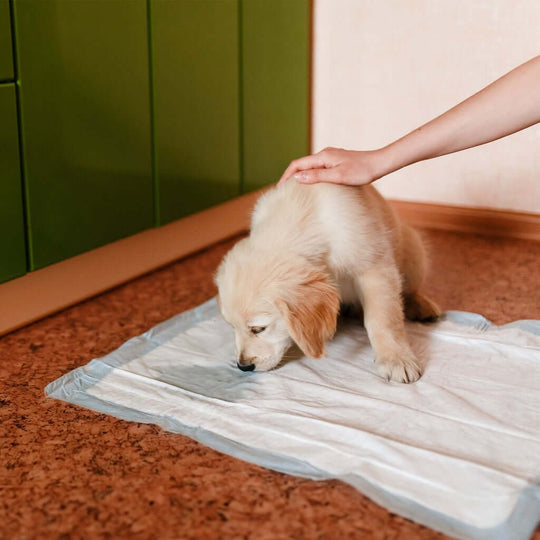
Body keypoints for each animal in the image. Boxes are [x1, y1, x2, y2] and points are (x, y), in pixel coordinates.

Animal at [214, 182, 438, 384]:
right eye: (232, 327)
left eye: (259, 329)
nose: (243, 366)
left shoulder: (373, 266)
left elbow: (382, 318)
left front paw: (395, 358)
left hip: (413, 250)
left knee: (409, 290)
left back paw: (422, 306)